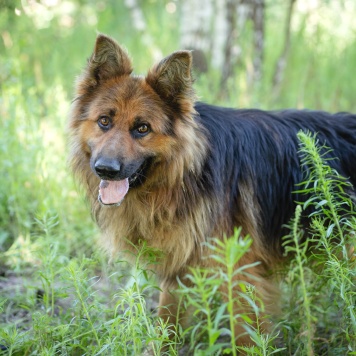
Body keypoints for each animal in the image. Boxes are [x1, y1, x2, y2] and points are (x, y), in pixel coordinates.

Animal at [69, 34, 356, 348]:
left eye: (142, 128)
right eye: (104, 121)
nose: (105, 169)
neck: (189, 172)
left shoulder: (239, 276)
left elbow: (247, 340)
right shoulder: (180, 268)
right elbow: (166, 325)